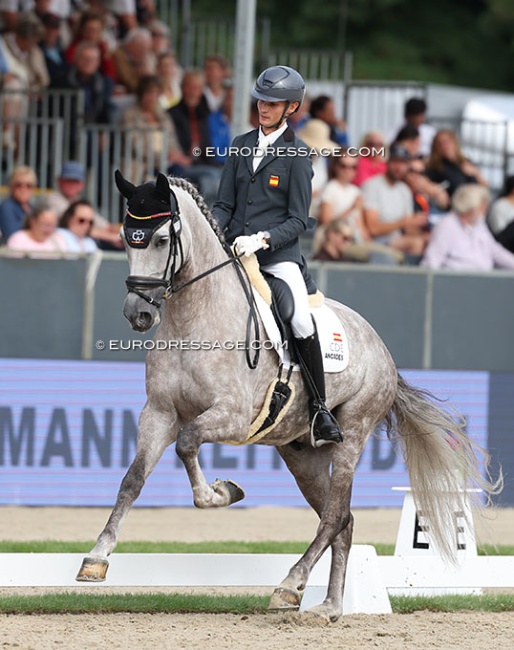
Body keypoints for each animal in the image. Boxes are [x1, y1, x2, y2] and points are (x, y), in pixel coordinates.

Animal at [76, 171, 499, 622]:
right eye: (126, 237)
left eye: (159, 240)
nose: (137, 313)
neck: (195, 317)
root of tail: (383, 351)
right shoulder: (158, 413)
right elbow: (133, 479)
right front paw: (96, 558)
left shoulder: (232, 417)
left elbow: (188, 444)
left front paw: (222, 492)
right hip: (302, 456)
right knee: (343, 520)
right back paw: (328, 606)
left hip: (352, 432)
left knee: (334, 516)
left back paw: (290, 585)